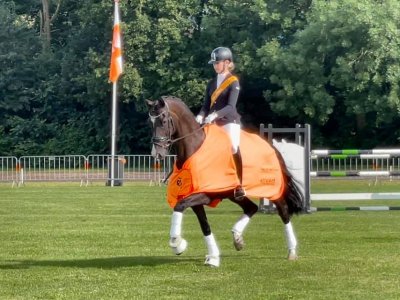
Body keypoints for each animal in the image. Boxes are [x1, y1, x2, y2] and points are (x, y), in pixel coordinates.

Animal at [147, 95, 304, 268]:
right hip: (234, 194)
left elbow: (179, 206)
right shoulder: (194, 198)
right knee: (252, 208)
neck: (195, 149)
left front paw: (176, 242)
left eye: (163, 120)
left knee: (283, 211)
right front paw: (212, 256)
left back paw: (292, 251)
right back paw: (237, 238)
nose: (156, 154)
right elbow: (204, 225)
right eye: (150, 121)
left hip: (271, 189)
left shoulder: (205, 194)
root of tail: (272, 146)